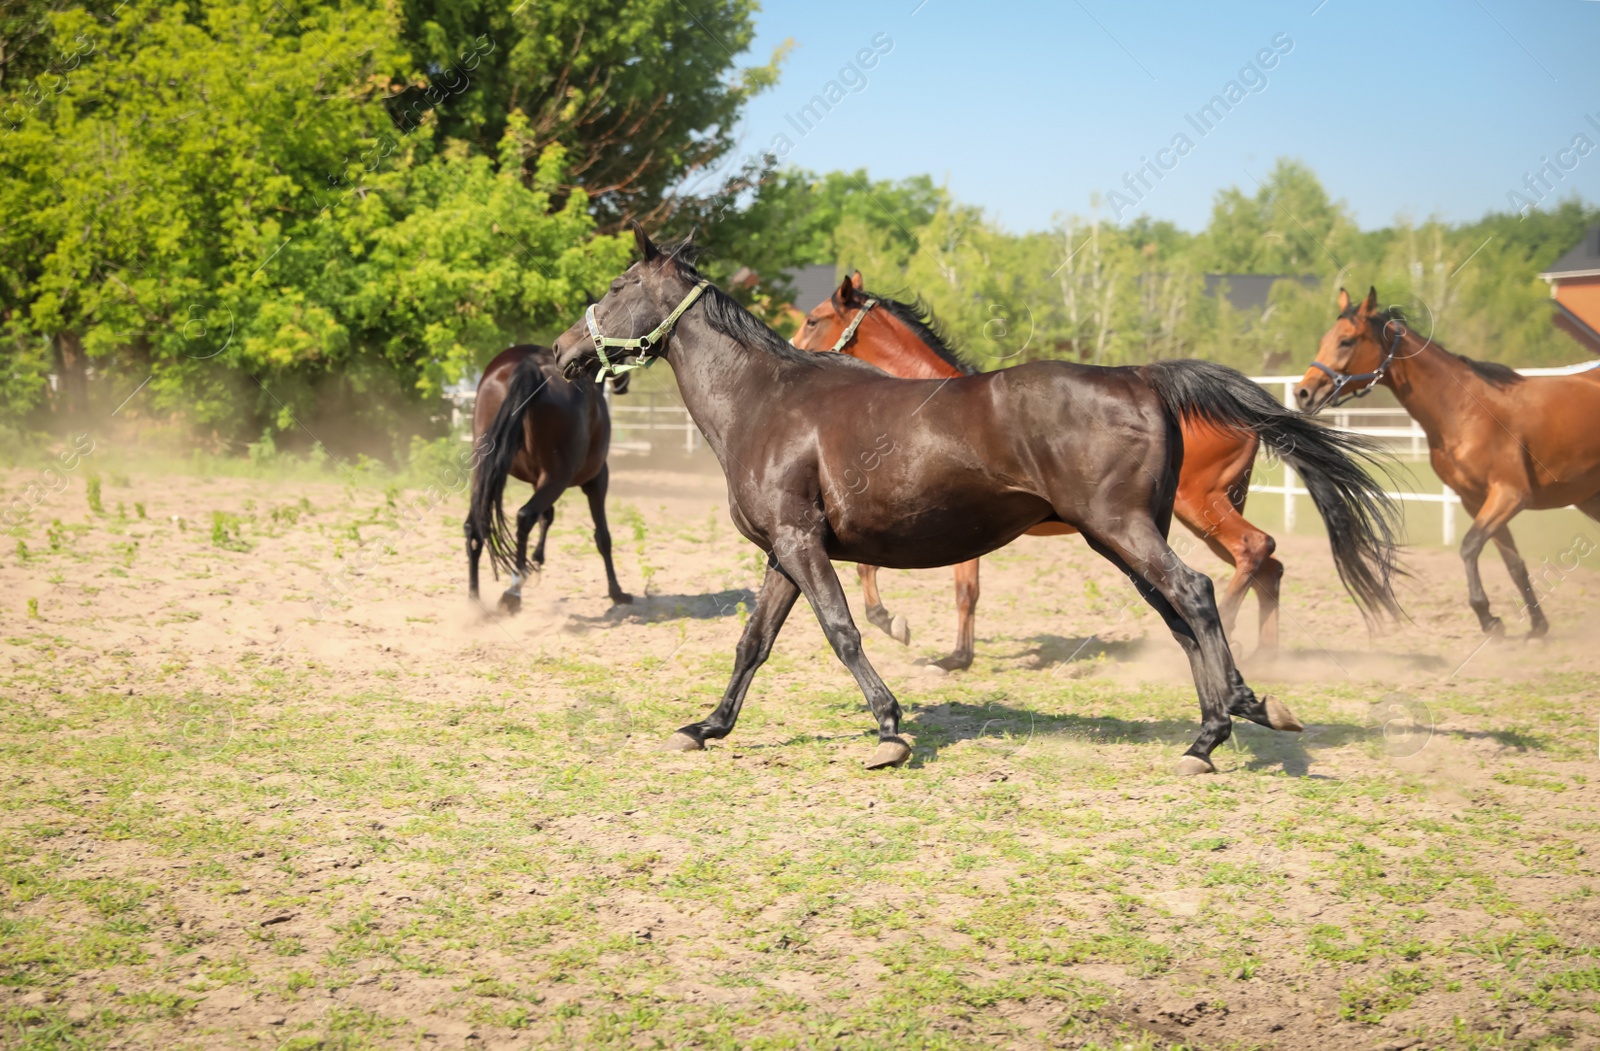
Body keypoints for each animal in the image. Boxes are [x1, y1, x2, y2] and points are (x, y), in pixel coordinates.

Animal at [464, 343, 630, 607]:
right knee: (524, 516)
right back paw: (513, 592)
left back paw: (475, 600)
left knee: (475, 526)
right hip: (558, 478)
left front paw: (537, 558)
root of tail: (530, 365)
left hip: (487, 473)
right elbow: (602, 536)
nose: (623, 383)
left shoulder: (537, 480)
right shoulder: (596, 480)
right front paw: (617, 592)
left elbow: (547, 517)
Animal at [787, 270, 1299, 665]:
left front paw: (911, 633)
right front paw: (955, 653)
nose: (792, 352)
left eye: (812, 320)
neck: (929, 405)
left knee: (1254, 549)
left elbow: (938, 584)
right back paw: (1266, 657)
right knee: (1268, 564)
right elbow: (949, 584)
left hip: (1197, 506)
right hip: (1198, 514)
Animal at [1292, 283, 1600, 636]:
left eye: (1347, 341)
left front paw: (1488, 617)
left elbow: (1469, 547)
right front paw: (1536, 627)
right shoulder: (1476, 501)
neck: (1464, 409)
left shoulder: (1510, 495)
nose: (1302, 393)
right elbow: (1513, 563)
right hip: (1590, 499)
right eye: (1323, 340)